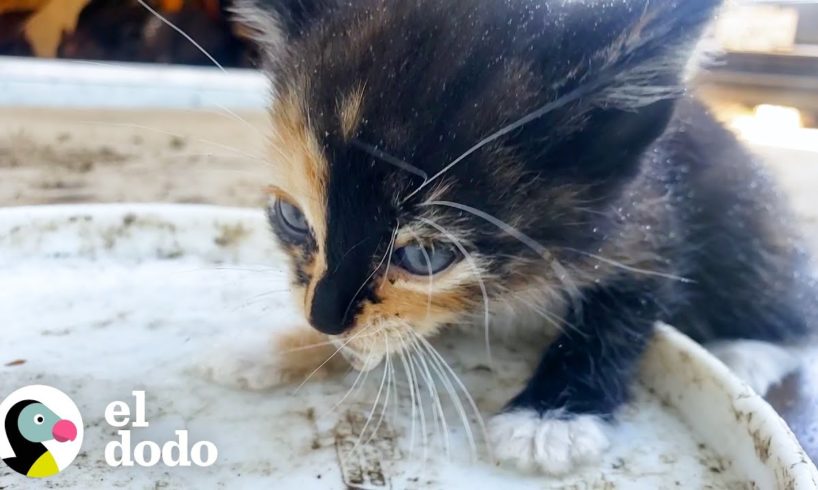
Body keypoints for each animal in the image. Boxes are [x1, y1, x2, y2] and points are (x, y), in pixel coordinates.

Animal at [218, 0, 816, 476]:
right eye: (292, 218)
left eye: (426, 255)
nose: (322, 318)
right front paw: (282, 347)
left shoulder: (650, 223)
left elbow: (619, 312)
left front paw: (551, 417)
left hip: (748, 215)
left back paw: (745, 353)